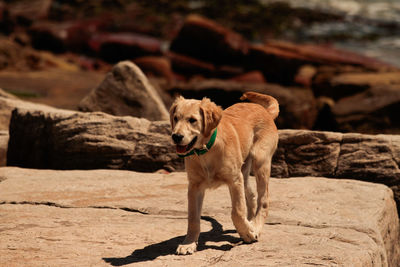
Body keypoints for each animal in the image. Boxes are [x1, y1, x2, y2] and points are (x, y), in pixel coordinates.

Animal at [170, 92, 280, 255]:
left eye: (192, 120)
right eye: (176, 118)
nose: (176, 136)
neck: (206, 150)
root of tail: (264, 111)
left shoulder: (234, 180)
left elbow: (237, 211)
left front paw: (248, 233)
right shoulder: (194, 186)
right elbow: (193, 218)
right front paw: (188, 243)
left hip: (261, 160)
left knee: (263, 199)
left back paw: (256, 226)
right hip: (244, 170)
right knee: (251, 195)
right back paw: (250, 221)